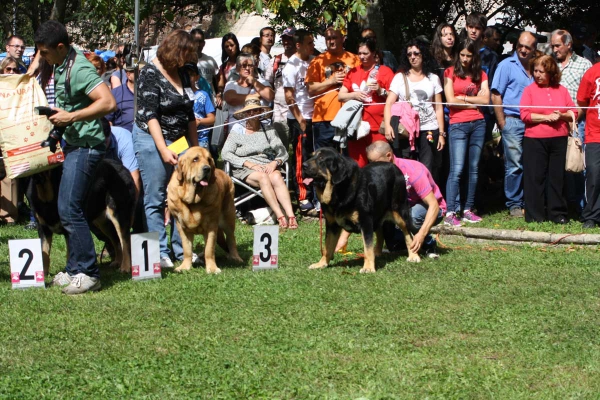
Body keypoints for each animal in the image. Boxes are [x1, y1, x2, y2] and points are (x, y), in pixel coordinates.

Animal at [166, 145, 241, 274]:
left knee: (231, 238)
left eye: (209, 160)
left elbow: (209, 249)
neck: (193, 200)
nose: (207, 168)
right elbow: (187, 249)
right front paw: (184, 267)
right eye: (195, 159)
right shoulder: (182, 227)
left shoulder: (211, 226)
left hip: (228, 218)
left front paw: (212, 268)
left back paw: (235, 257)